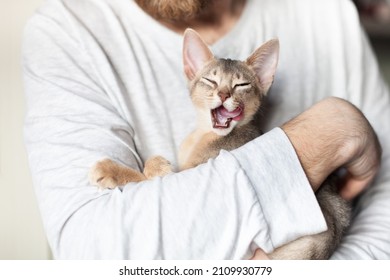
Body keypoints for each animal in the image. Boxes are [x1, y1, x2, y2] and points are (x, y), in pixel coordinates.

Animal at [89, 29, 350, 260]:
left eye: (241, 85)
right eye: (210, 80)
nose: (224, 95)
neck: (204, 135)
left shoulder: (194, 175)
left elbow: (146, 178)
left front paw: (113, 170)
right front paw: (154, 165)